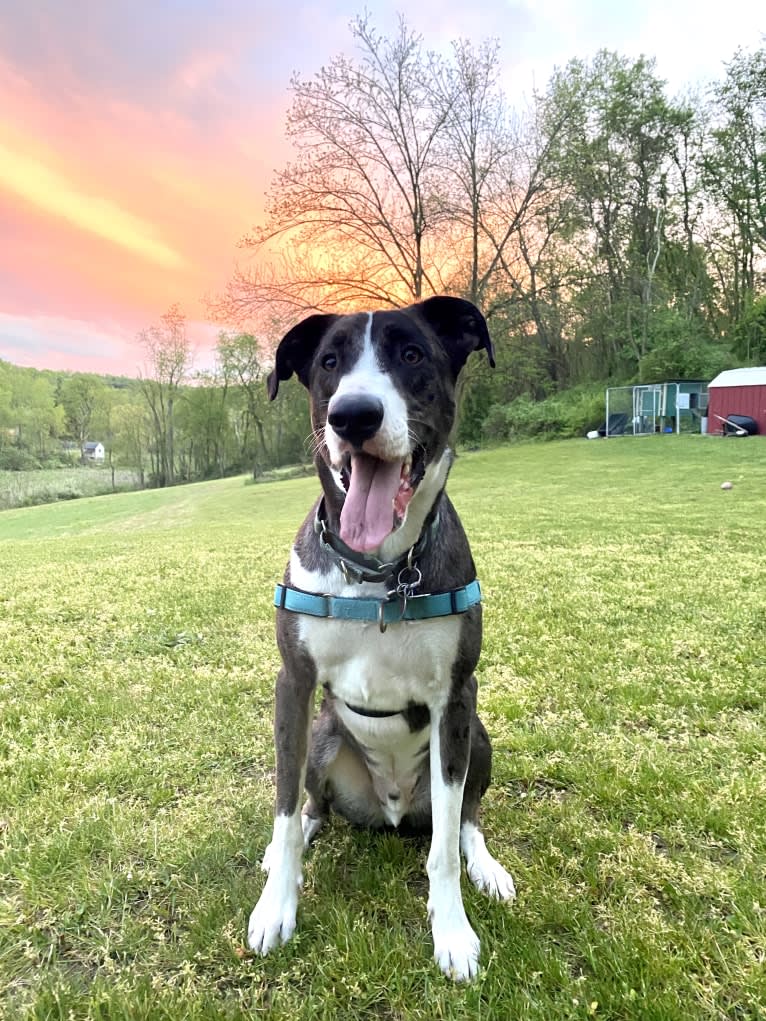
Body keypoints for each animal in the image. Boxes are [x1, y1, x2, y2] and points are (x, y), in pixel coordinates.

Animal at [249, 296, 516, 980]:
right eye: (328, 363)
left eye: (412, 354)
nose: (353, 415)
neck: (377, 571)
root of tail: (391, 809)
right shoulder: (293, 686)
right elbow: (283, 806)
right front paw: (275, 906)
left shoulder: (457, 697)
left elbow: (444, 844)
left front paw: (452, 931)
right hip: (322, 737)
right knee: (311, 807)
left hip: (478, 738)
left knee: (466, 817)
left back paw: (486, 865)